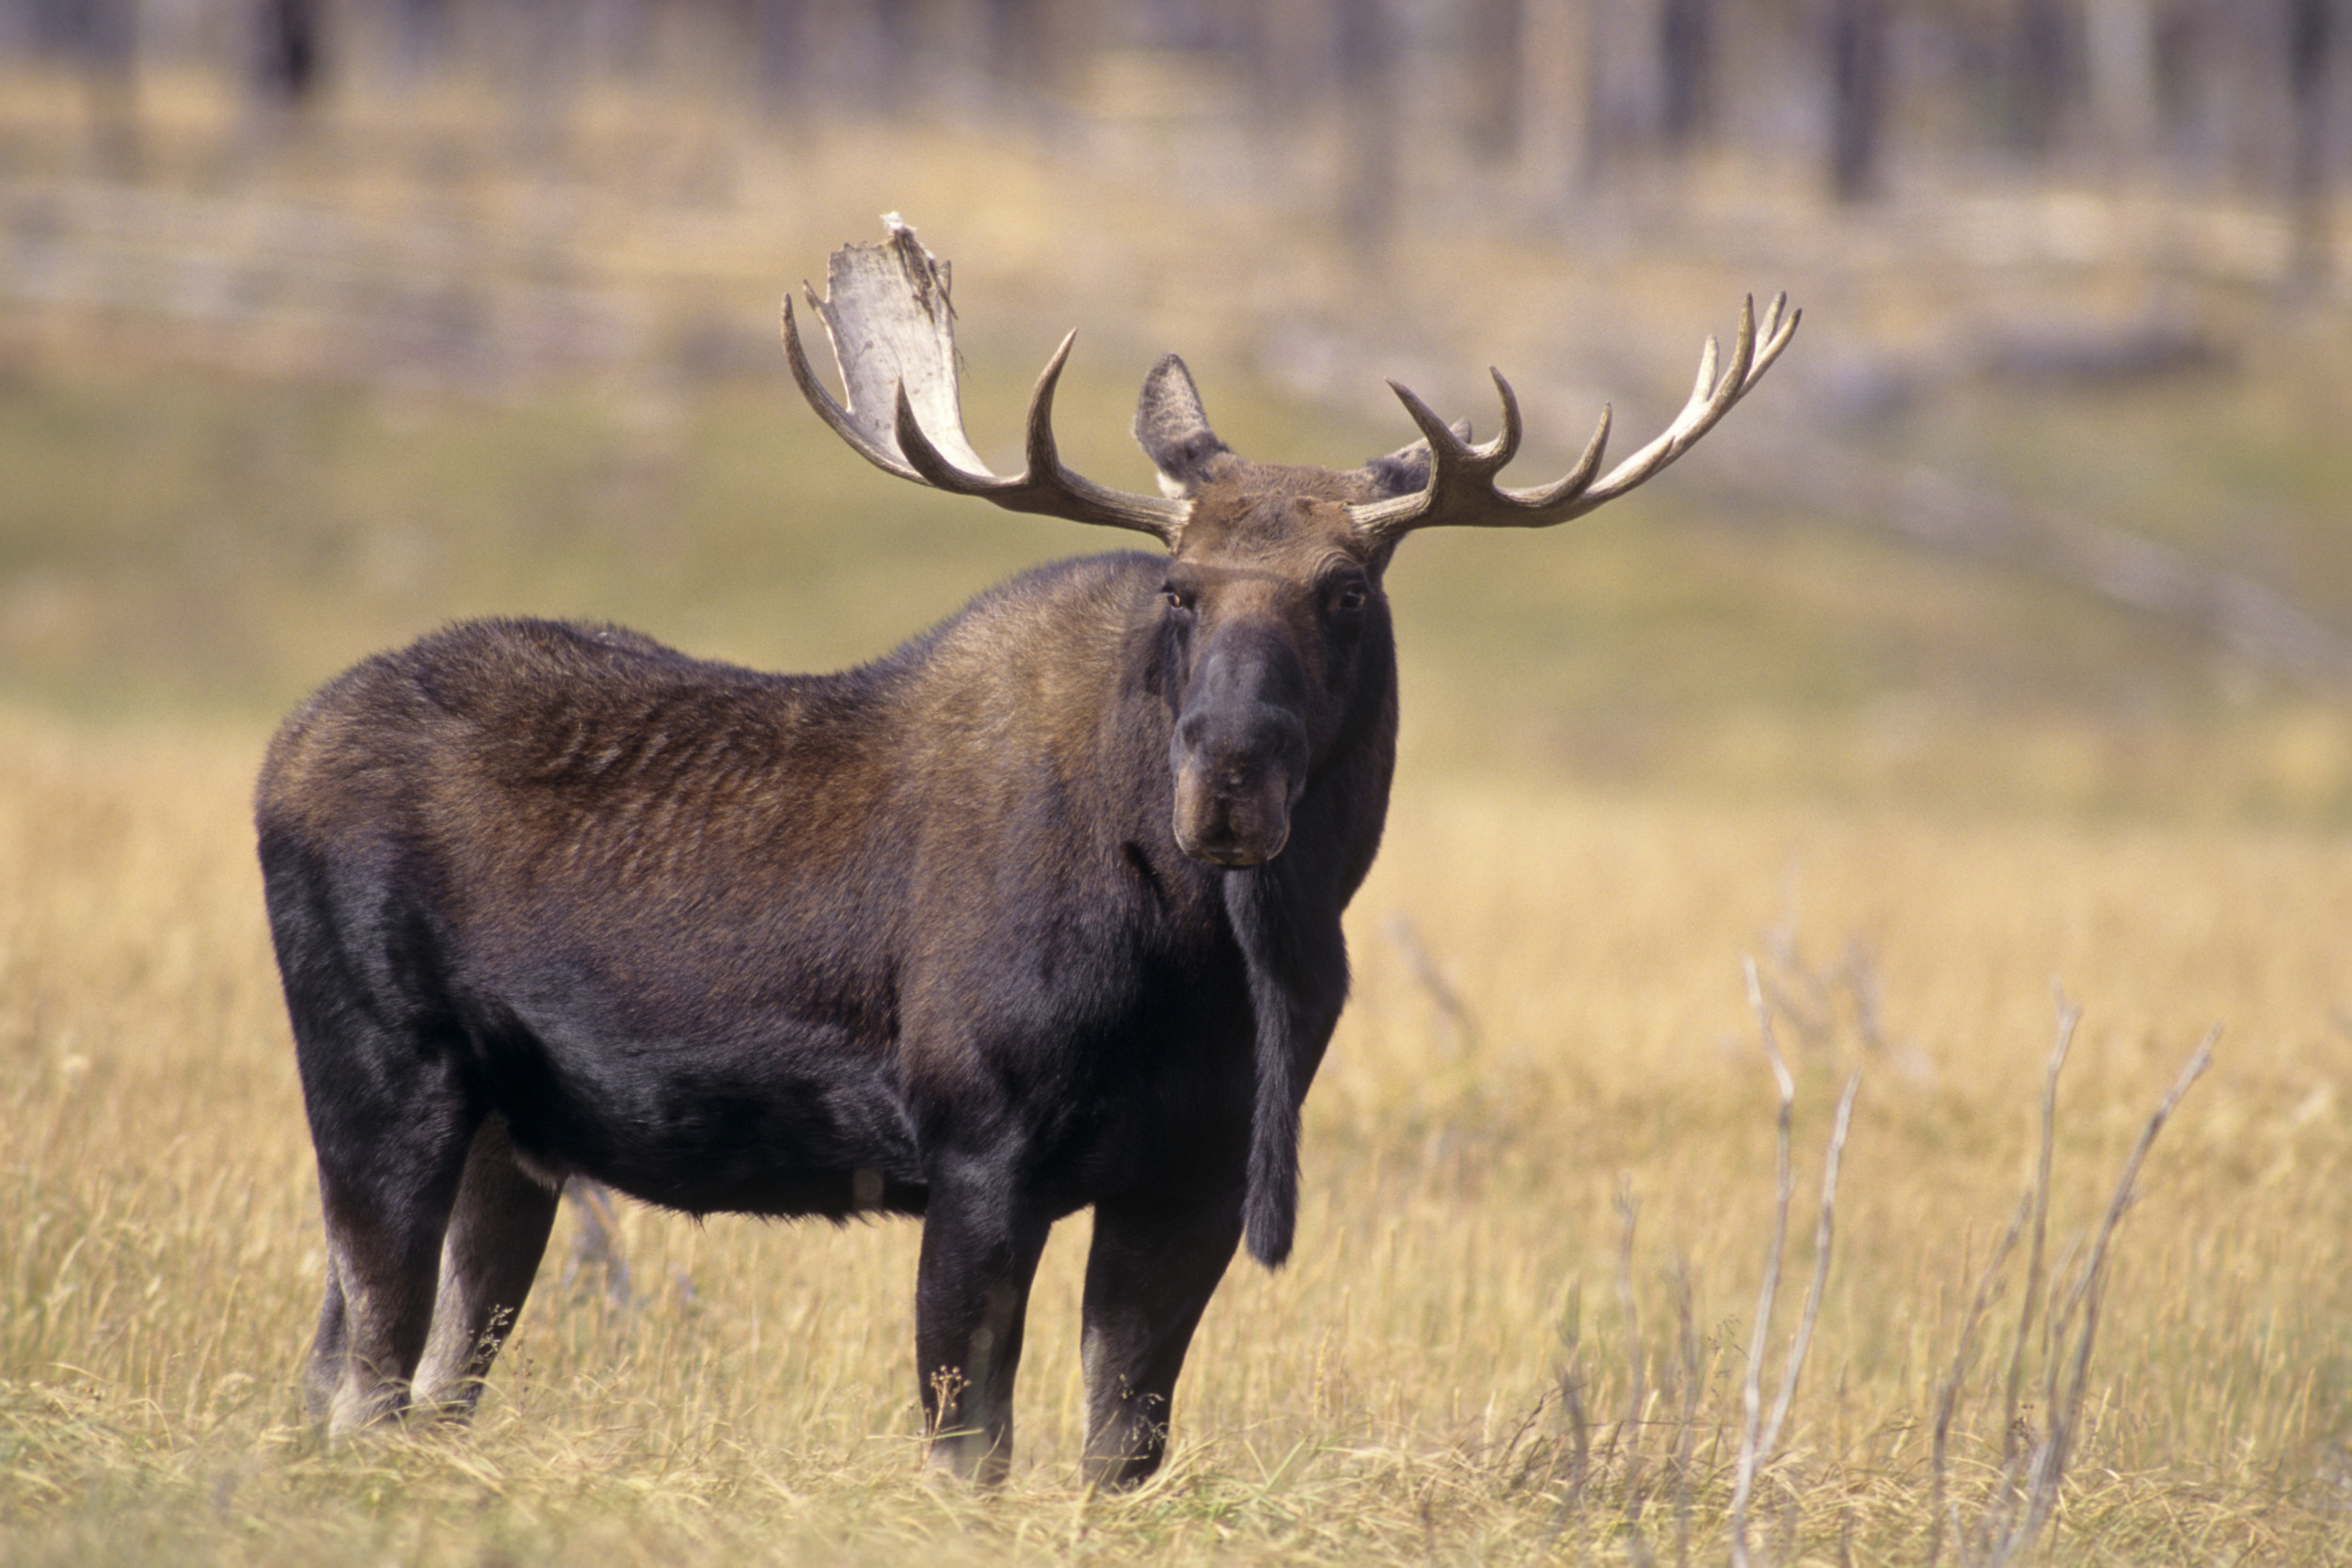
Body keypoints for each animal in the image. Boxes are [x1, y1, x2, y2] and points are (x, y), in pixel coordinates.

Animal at [257, 217, 1797, 1485]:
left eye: (1347, 588)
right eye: (1180, 586)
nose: (1227, 779)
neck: (1222, 959)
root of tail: (279, 750)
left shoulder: (1190, 1175)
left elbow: (1122, 1444)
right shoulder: (980, 1147)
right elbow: (972, 1450)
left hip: (513, 1135)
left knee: (403, 1371)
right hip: (383, 1078)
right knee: (362, 1370)